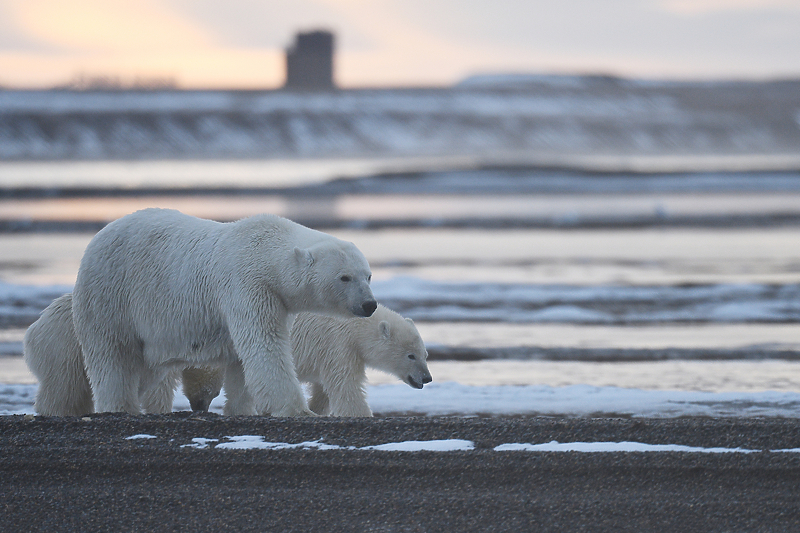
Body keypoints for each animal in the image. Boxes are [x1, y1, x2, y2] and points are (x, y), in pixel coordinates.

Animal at [72, 208, 378, 416]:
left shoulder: (274, 297)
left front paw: (242, 407)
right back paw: (120, 405)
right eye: (344, 277)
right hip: (112, 294)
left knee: (145, 368)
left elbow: (241, 360)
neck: (266, 252)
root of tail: (99, 236)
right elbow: (264, 344)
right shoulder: (247, 284)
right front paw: (296, 409)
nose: (369, 305)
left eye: (368, 275)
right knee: (113, 354)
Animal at [181, 304, 432, 416]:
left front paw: (315, 409)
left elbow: (324, 389)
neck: (356, 327)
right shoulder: (338, 344)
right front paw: (362, 414)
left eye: (425, 354)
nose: (427, 377)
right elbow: (345, 384)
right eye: (411, 355)